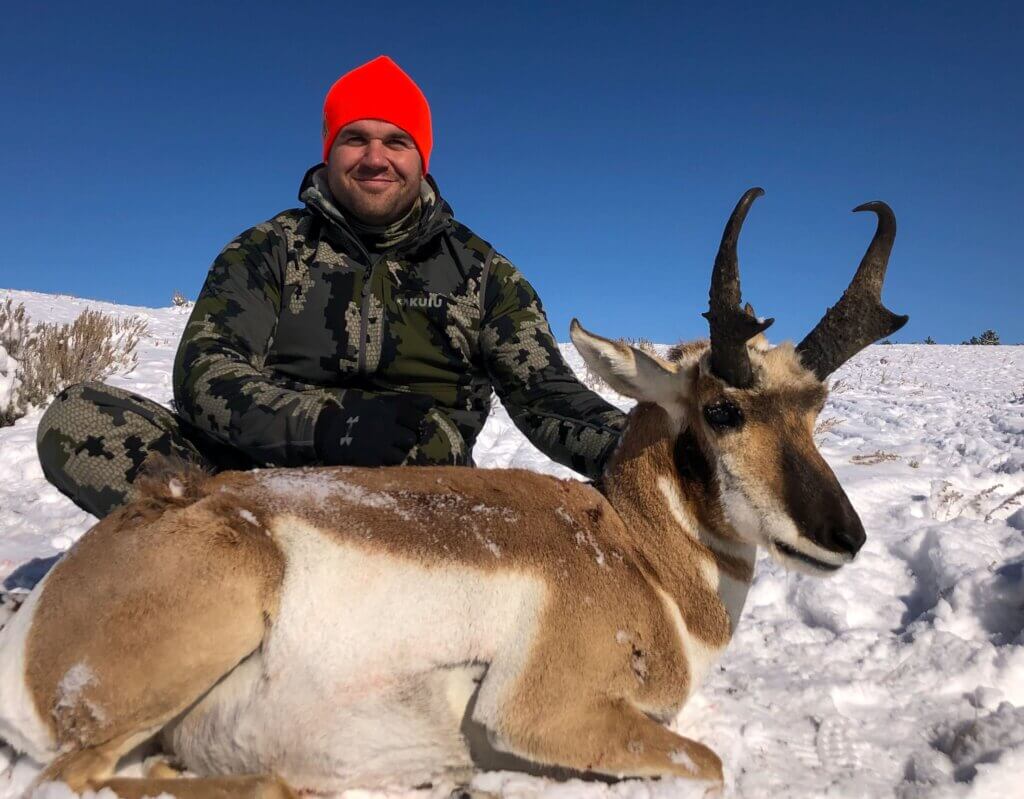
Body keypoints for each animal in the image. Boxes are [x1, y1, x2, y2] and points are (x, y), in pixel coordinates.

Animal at [0, 189, 906, 799]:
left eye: (815, 406)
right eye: (722, 409)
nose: (845, 535)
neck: (634, 551)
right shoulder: (538, 711)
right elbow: (711, 764)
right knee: (68, 781)